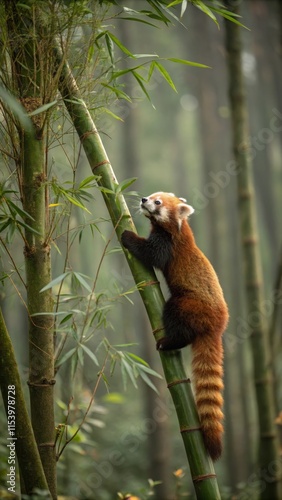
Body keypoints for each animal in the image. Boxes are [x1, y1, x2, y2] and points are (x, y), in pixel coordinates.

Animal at [121, 191, 229, 460]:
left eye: (158, 202)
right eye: (152, 196)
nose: (143, 199)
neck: (179, 228)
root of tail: (218, 326)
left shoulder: (167, 244)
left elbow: (150, 254)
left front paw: (127, 236)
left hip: (187, 305)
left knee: (176, 317)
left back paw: (169, 342)